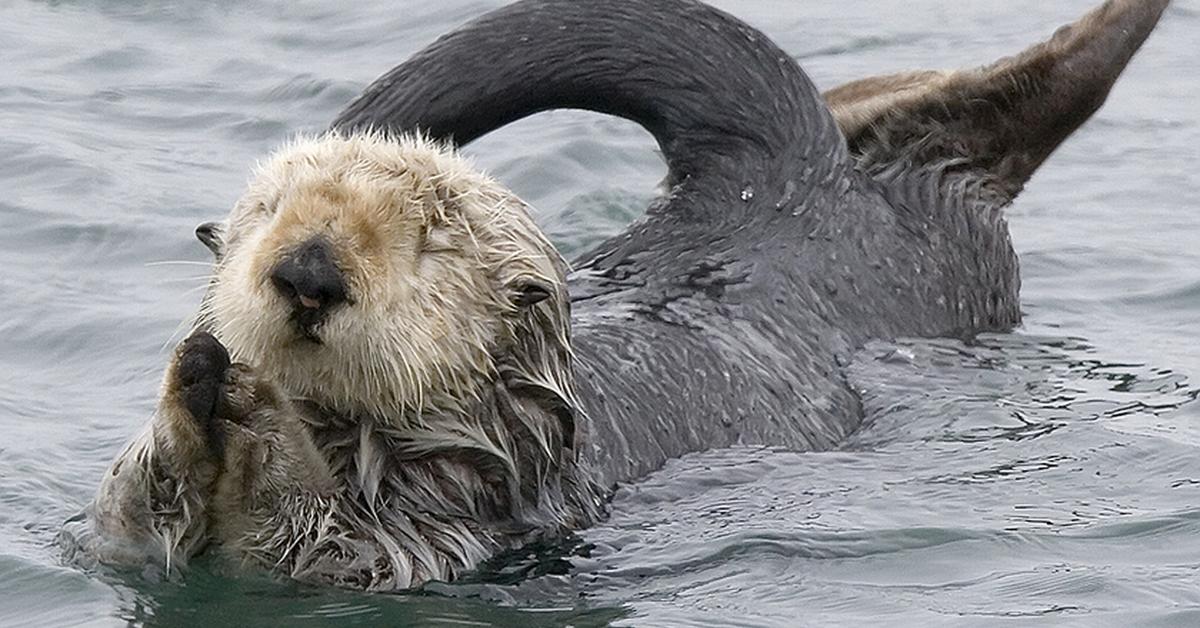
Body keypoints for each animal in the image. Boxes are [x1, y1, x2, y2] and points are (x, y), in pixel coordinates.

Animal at [68, 0, 1171, 590]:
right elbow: (124, 514)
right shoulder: (124, 542)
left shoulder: (460, 524)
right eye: (266, 210)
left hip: (934, 267)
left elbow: (337, 547)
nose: (305, 268)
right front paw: (195, 383)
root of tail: (787, 183)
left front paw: (252, 416)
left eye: (430, 234)